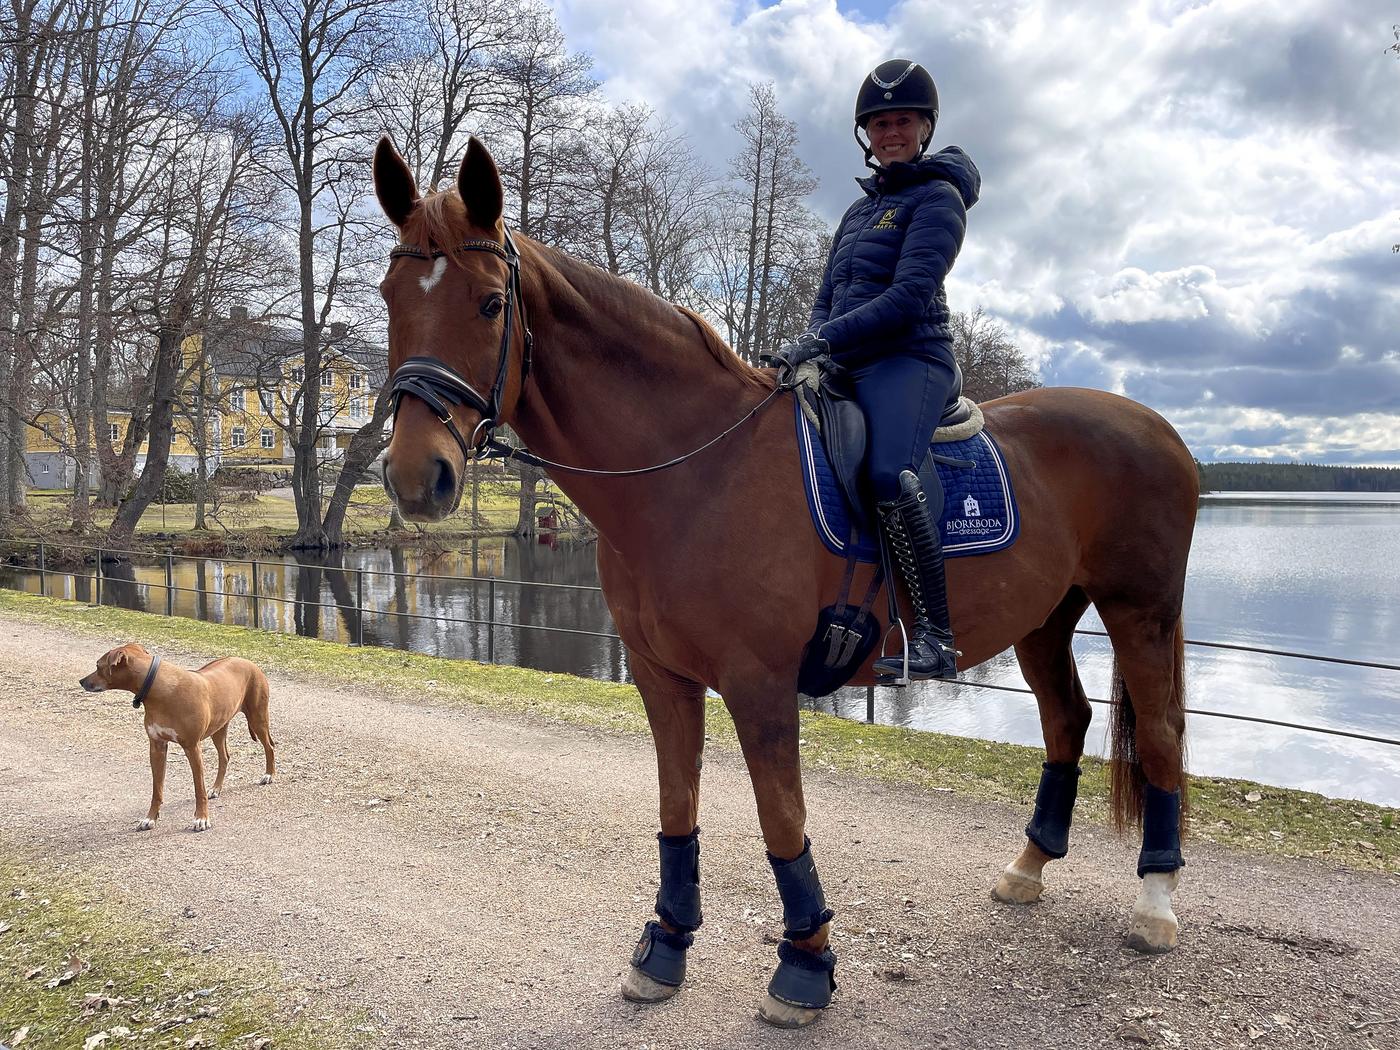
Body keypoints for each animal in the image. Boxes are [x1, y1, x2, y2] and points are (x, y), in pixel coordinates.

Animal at [78, 646, 275, 834]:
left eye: (98, 665)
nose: (81, 681)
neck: (158, 689)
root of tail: (250, 662)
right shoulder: (157, 747)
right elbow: (156, 789)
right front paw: (150, 818)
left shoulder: (192, 747)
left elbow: (199, 789)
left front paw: (201, 819)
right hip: (219, 726)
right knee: (224, 756)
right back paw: (216, 788)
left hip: (257, 717)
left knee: (269, 746)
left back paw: (269, 775)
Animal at [378, 135, 1198, 1030]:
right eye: (388, 298)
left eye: (491, 304)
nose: (416, 475)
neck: (698, 471)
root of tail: (1157, 425)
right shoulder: (662, 679)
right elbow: (677, 810)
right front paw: (664, 948)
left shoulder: (760, 684)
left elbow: (781, 821)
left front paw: (805, 966)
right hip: (1045, 619)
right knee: (1067, 722)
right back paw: (1027, 867)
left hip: (1139, 610)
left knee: (1160, 734)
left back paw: (1156, 902)